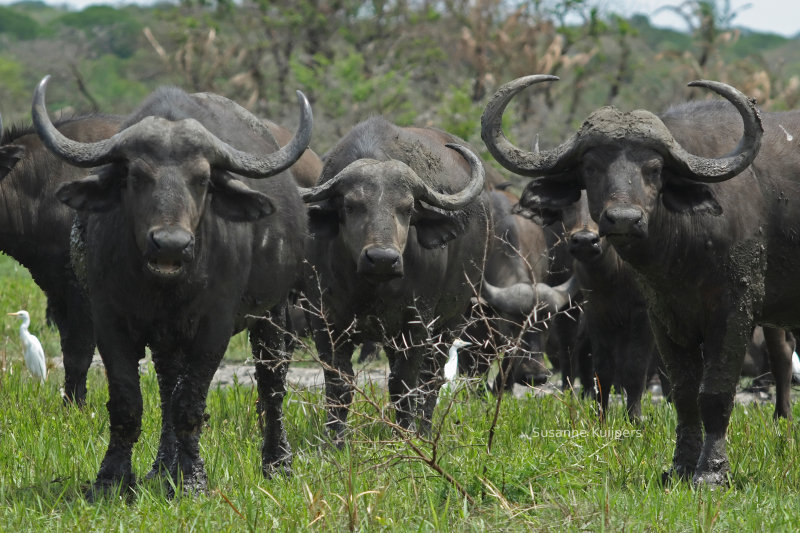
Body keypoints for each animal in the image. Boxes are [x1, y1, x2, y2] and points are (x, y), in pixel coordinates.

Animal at [34, 77, 316, 496]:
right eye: (136, 176)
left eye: (202, 180)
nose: (170, 243)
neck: (164, 283)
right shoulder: (110, 320)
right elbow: (129, 403)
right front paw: (113, 480)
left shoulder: (214, 326)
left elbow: (190, 403)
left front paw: (193, 480)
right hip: (167, 336)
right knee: (167, 386)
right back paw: (163, 467)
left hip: (274, 310)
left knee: (272, 382)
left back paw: (276, 463)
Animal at [300, 116, 488, 436]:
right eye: (350, 206)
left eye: (408, 208)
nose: (382, 259)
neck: (371, 287)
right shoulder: (325, 322)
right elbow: (339, 384)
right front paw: (334, 439)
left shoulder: (417, 322)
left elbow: (404, 383)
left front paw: (404, 435)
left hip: (453, 319)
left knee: (432, 377)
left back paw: (424, 430)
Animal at [482, 76, 800, 486]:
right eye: (591, 167)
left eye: (654, 168)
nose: (623, 219)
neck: (684, 247)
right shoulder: (662, 315)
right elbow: (682, 391)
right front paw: (681, 467)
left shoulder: (734, 310)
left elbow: (713, 392)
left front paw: (711, 472)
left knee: (781, 357)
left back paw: (782, 419)